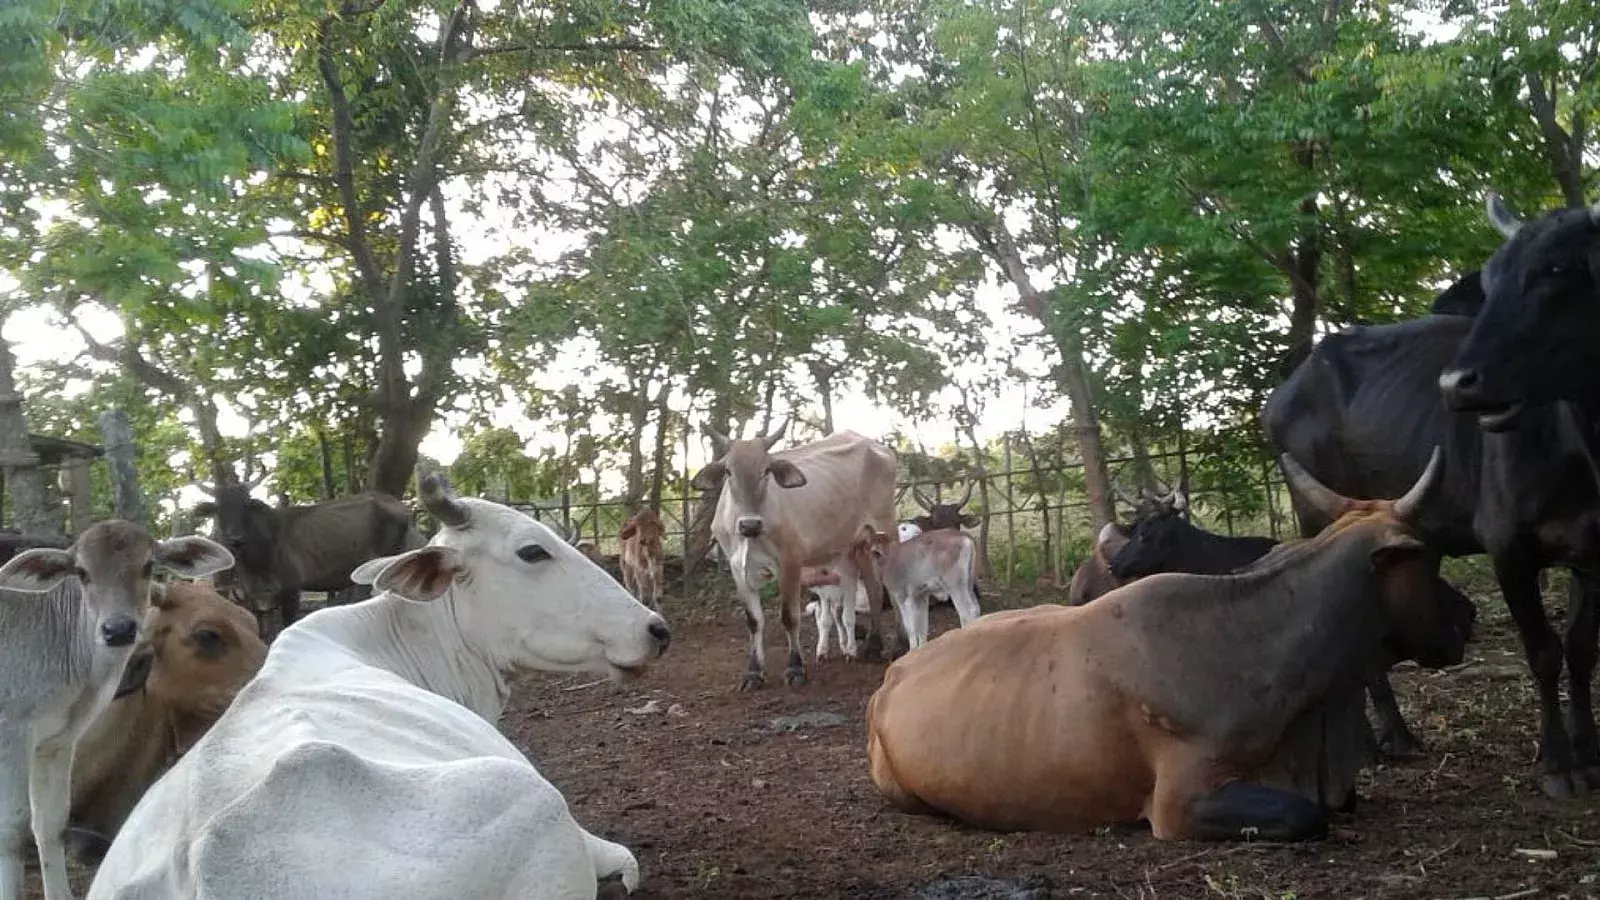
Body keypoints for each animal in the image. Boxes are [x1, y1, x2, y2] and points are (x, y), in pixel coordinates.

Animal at [192, 483, 425, 637]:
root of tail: (404, 509)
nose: (236, 538)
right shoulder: (255, 597)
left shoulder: (290, 588)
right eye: (219, 508)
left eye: (246, 506)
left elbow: (285, 626)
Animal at [1267, 293, 1593, 791]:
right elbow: (1544, 653)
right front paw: (1559, 764)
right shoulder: (1509, 552)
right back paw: (1378, 742)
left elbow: (1581, 648)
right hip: (1319, 516)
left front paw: (1589, 750)